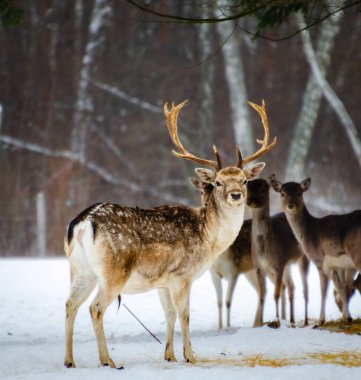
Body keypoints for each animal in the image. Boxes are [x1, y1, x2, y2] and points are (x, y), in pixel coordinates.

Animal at [64, 98, 276, 368]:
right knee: (96, 308)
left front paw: (169, 355)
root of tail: (83, 222)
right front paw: (190, 355)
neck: (208, 237)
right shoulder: (182, 275)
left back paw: (69, 361)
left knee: (70, 304)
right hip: (114, 270)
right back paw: (107, 361)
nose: (236, 195)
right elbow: (185, 314)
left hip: (80, 269)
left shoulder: (163, 281)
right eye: (217, 182)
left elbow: (170, 314)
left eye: (244, 180)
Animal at [248, 179, 310, 326]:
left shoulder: (279, 264)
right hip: (287, 265)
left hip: (302, 258)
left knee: (305, 288)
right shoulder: (259, 267)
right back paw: (291, 321)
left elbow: (275, 294)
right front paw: (261, 323)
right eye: (247, 188)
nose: (250, 201)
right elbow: (261, 297)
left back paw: (305, 321)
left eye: (263, 189)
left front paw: (276, 321)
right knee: (292, 286)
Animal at [270, 175, 360, 324]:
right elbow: (341, 287)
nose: (290, 205)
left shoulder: (319, 259)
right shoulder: (337, 264)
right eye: (282, 193)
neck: (309, 232)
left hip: (357, 255)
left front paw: (320, 320)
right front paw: (346, 317)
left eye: (299, 193)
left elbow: (323, 289)